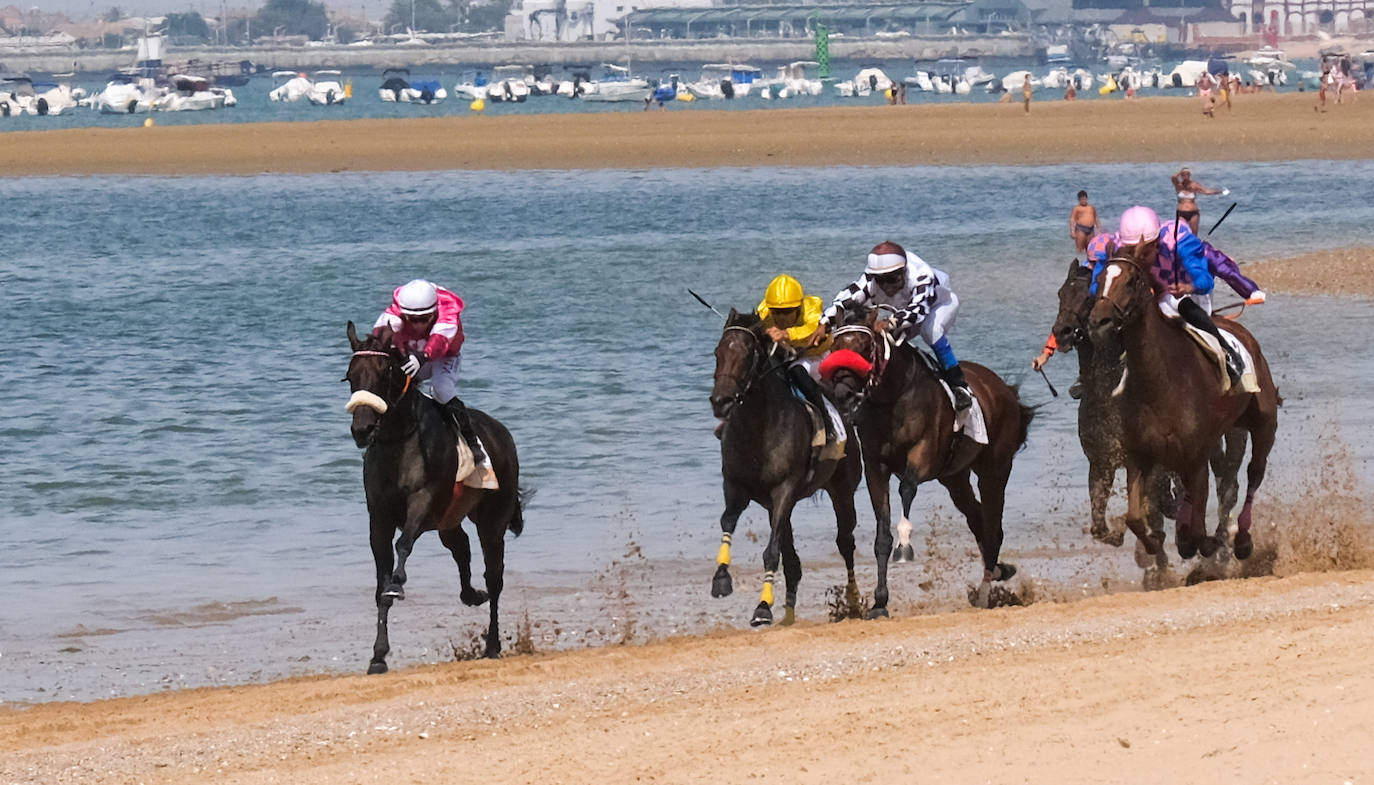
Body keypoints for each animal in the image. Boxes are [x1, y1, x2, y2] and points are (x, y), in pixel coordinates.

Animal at [344, 321, 527, 671]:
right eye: (349, 376)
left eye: (385, 373)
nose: (362, 429)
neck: (398, 440)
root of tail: (503, 433)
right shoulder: (379, 517)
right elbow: (381, 580)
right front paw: (378, 656)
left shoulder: (424, 500)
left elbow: (403, 547)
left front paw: (398, 584)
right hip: (449, 521)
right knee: (462, 550)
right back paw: (473, 595)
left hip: (492, 521)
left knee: (494, 577)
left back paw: (492, 643)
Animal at [709, 310, 863, 627]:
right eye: (717, 352)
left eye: (746, 355)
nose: (721, 402)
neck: (759, 428)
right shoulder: (736, 486)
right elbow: (727, 521)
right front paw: (721, 579)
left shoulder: (784, 490)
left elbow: (771, 552)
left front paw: (762, 608)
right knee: (793, 563)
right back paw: (789, 615)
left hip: (842, 489)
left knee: (845, 542)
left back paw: (853, 601)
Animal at [824, 309, 1034, 611]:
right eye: (835, 347)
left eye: (864, 347)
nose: (843, 394)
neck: (893, 397)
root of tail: (1004, 389)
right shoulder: (876, 466)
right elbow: (882, 535)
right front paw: (879, 601)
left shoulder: (923, 453)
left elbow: (907, 488)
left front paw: (904, 546)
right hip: (955, 478)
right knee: (978, 518)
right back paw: (998, 570)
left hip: (995, 469)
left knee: (993, 523)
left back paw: (984, 593)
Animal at [1050, 259, 1248, 563]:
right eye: (1061, 293)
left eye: (1088, 297)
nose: (1061, 331)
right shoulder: (1101, 463)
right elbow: (1100, 525)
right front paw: (1125, 534)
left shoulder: (1153, 464)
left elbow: (1156, 507)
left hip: (1235, 432)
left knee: (1228, 486)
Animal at [1086, 252, 1279, 561]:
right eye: (1100, 278)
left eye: (1132, 281)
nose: (1098, 321)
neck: (1160, 384)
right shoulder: (1140, 454)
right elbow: (1134, 518)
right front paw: (1156, 543)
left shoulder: (1196, 455)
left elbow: (1200, 527)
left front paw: (1206, 541)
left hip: (1264, 425)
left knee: (1253, 473)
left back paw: (1241, 539)